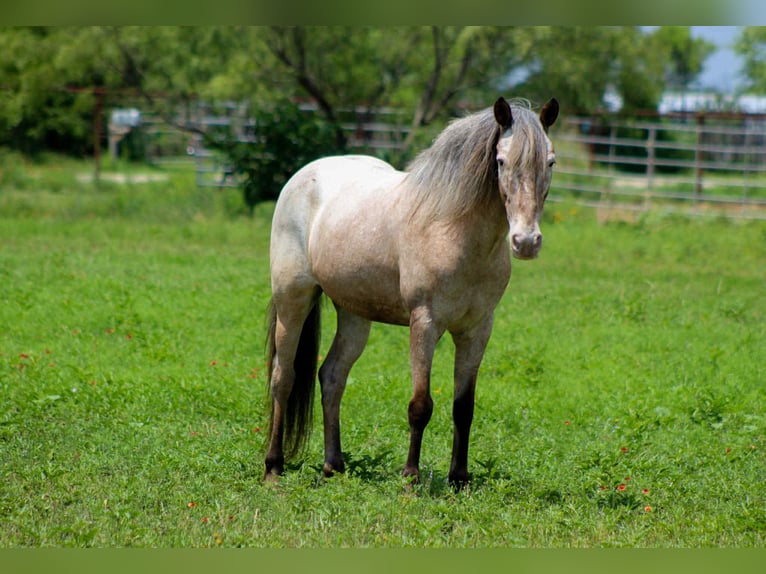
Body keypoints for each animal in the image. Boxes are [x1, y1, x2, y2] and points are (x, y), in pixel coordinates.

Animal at [264, 96, 559, 487]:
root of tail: (302, 176)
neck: (453, 231)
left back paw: (333, 465)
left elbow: (463, 407)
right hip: (293, 300)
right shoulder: (425, 324)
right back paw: (273, 466)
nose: (526, 242)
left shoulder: (477, 330)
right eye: (500, 161)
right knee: (283, 378)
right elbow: (420, 405)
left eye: (551, 162)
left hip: (354, 314)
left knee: (332, 377)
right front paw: (410, 477)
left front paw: (459, 478)